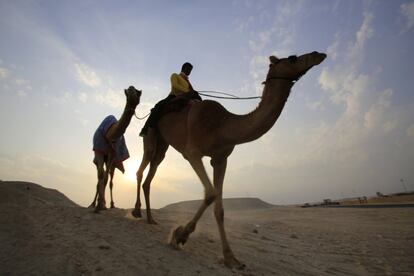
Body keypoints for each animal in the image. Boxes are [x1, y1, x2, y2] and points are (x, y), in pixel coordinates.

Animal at [133, 51, 326, 268]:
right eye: (292, 58)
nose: (318, 54)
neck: (223, 125)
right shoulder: (192, 153)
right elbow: (210, 194)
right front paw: (180, 235)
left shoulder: (220, 159)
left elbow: (220, 208)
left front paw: (231, 258)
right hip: (152, 132)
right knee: (143, 165)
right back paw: (137, 212)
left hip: (164, 143)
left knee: (154, 167)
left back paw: (150, 218)